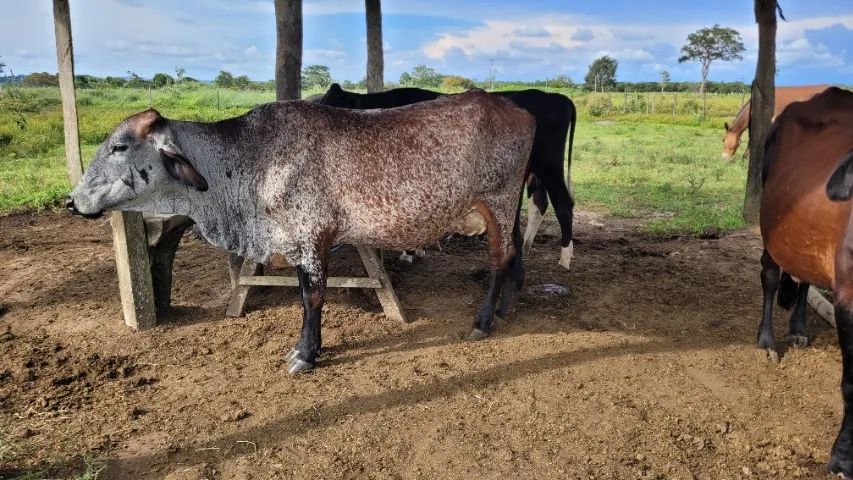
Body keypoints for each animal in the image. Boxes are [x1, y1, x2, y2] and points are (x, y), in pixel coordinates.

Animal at [65, 91, 536, 375]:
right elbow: (302, 295)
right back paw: (506, 308)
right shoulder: (294, 241)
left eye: (119, 146)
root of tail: (517, 109)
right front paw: (304, 348)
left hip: (498, 202)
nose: (72, 201)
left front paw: (306, 354)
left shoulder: (313, 238)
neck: (250, 162)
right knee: (515, 255)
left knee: (501, 258)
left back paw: (483, 320)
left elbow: (312, 298)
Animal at [318, 83, 578, 270]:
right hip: (535, 172)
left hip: (549, 164)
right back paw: (527, 243)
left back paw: (565, 259)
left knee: (563, 204)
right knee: (539, 203)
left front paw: (409, 252)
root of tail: (556, 97)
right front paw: (417, 249)